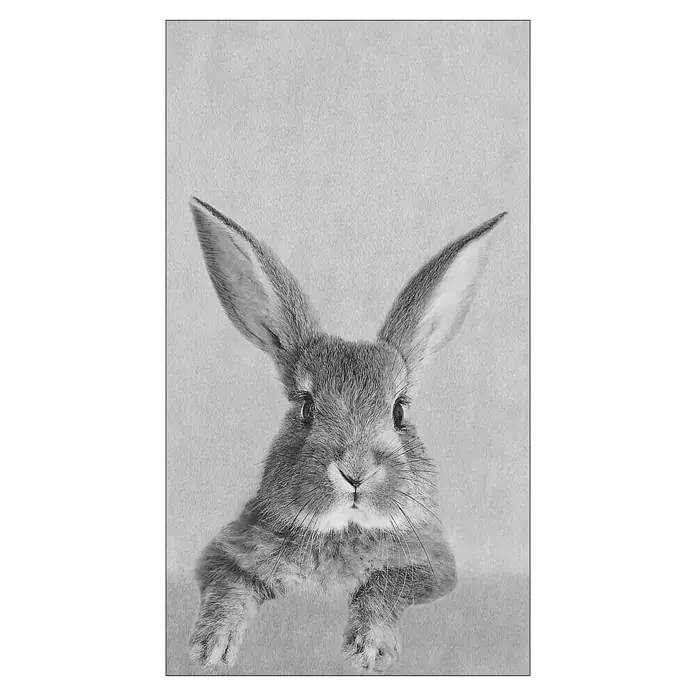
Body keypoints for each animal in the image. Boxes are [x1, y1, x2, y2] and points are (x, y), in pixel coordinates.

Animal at [187, 197, 506, 673]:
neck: (343, 531)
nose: (355, 473)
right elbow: (229, 588)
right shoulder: (228, 553)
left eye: (399, 411)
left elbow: (385, 583)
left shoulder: (431, 568)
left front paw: (369, 651)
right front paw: (209, 648)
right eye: (305, 408)